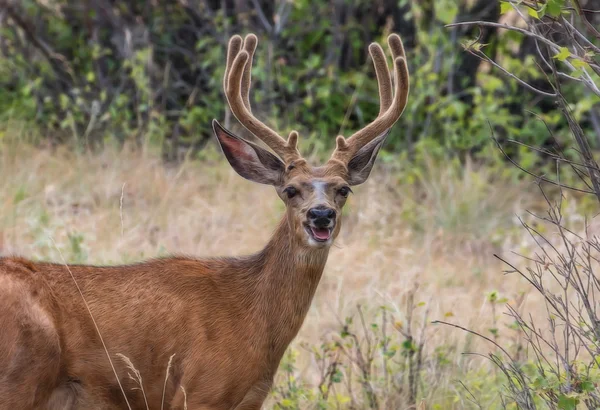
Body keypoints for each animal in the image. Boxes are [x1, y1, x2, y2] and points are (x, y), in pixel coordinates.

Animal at [0, 32, 408, 410]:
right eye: (291, 190)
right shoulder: (199, 390)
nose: (321, 215)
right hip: (20, 375)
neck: (253, 317)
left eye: (343, 190)